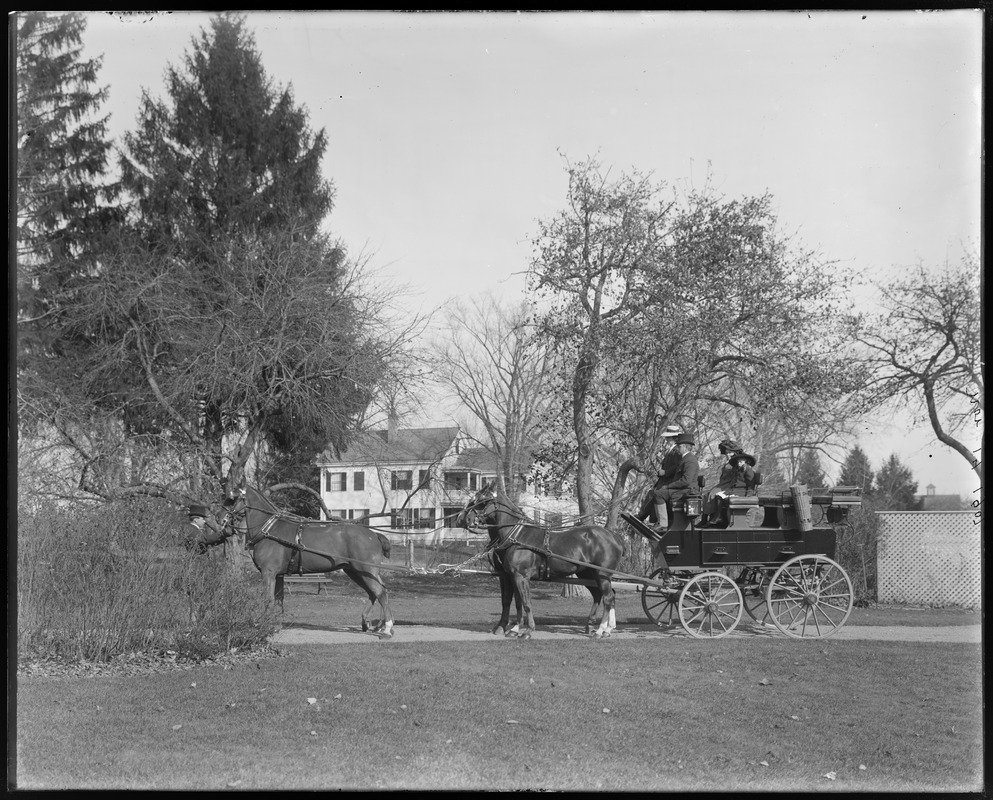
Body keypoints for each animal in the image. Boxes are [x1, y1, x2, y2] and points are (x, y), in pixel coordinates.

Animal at [221, 484, 396, 640]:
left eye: (232, 499)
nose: (221, 521)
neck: (269, 530)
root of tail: (373, 534)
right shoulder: (278, 576)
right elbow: (278, 601)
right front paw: (276, 626)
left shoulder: (268, 573)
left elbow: (268, 600)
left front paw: (265, 626)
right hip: (355, 571)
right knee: (375, 592)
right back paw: (371, 623)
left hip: (365, 570)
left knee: (380, 592)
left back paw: (386, 628)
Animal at [456, 484, 624, 640]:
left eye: (482, 502)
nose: (463, 519)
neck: (516, 536)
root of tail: (613, 536)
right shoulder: (509, 576)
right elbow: (513, 601)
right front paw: (512, 629)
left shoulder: (521, 576)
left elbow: (526, 603)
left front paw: (528, 631)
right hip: (588, 574)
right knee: (599, 595)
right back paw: (595, 626)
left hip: (602, 574)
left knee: (608, 598)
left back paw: (601, 630)